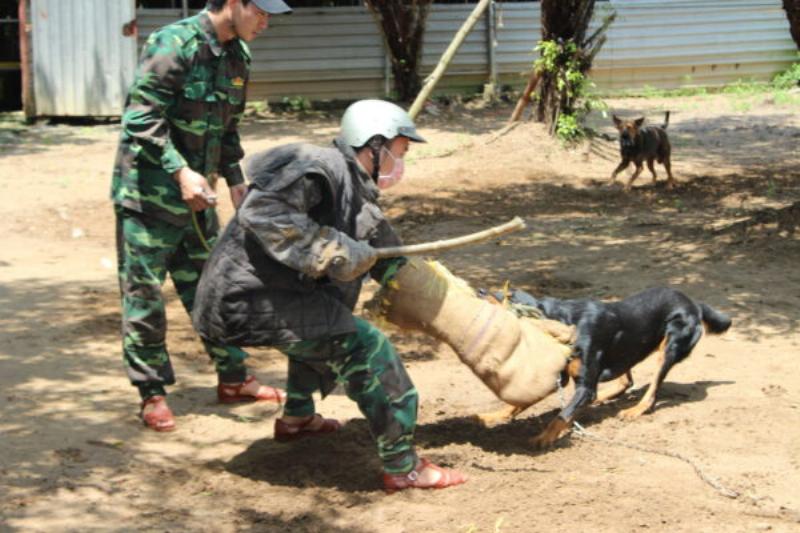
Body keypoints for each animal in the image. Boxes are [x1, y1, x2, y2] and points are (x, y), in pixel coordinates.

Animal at [506, 284, 732, 446]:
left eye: (507, 298)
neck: (565, 322)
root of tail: (694, 303)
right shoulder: (561, 377)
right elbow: (522, 402)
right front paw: (498, 416)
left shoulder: (585, 387)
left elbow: (561, 416)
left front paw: (542, 438)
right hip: (630, 347)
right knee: (626, 381)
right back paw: (603, 399)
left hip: (670, 347)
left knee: (652, 390)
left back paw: (635, 409)